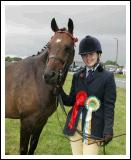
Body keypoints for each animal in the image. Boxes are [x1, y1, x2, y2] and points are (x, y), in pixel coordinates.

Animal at [5, 18, 78, 154]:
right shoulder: (26, 121)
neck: (36, 80)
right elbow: (23, 149)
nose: (49, 75)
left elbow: (33, 146)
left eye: (67, 47)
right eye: (49, 46)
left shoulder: (42, 121)